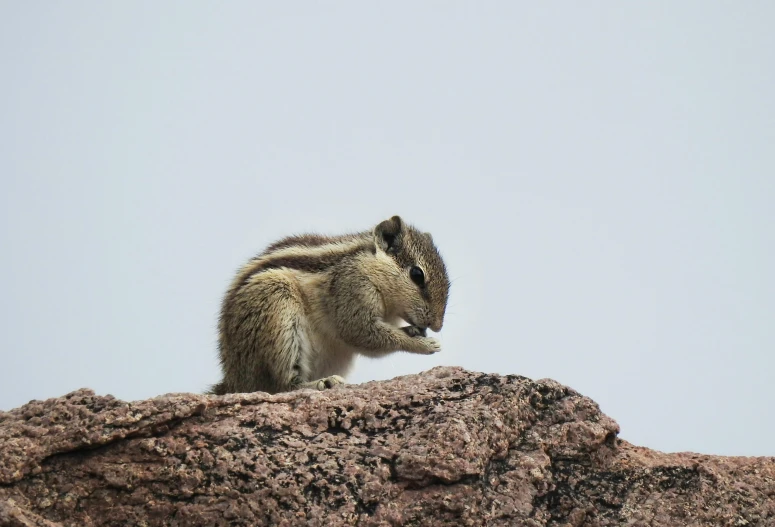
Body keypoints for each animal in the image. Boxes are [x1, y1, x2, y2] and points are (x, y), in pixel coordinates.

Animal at [209, 216, 452, 396]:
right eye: (417, 275)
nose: (437, 325)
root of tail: (234, 380)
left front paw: (413, 332)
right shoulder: (351, 291)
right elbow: (363, 334)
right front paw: (425, 345)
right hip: (276, 310)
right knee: (280, 386)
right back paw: (322, 383)